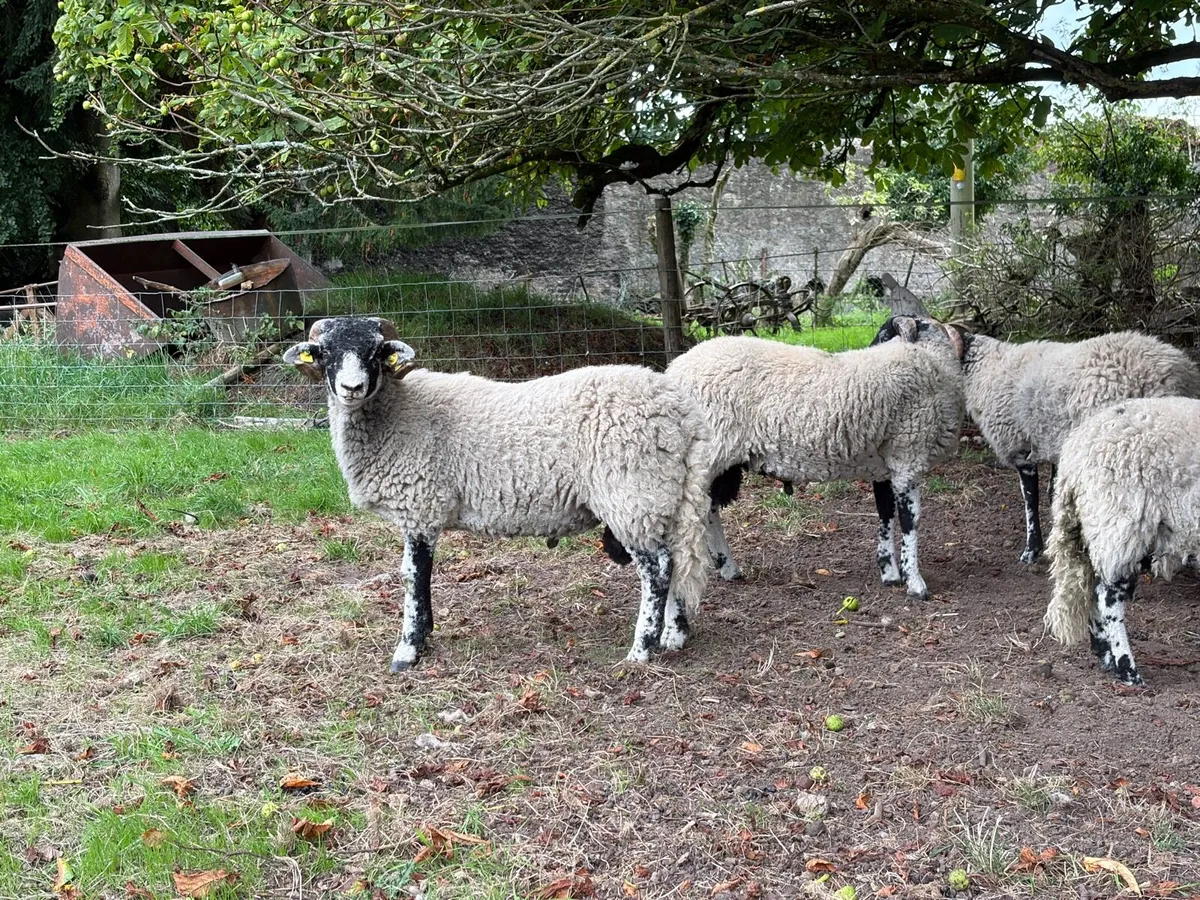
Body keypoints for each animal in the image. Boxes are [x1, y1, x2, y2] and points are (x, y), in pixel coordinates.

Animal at [283, 316, 714, 670]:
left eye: (375, 352)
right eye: (325, 352)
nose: (351, 387)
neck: (397, 413)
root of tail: (682, 413)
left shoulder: (421, 506)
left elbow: (412, 576)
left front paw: (408, 649)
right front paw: (424, 634)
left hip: (631, 494)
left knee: (657, 568)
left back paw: (641, 650)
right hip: (668, 494)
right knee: (680, 559)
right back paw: (674, 635)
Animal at [666, 316, 966, 600]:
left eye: (884, 335)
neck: (928, 359)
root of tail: (673, 370)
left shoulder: (885, 467)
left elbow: (886, 516)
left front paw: (890, 573)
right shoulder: (908, 457)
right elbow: (910, 521)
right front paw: (915, 584)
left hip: (719, 465)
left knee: (709, 511)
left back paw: (727, 567)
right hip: (706, 456)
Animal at [958, 330, 1200, 564]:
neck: (988, 369)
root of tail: (1175, 372)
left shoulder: (1020, 450)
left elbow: (1030, 501)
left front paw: (1031, 550)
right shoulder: (1056, 445)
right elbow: (1052, 491)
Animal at [1044, 396, 1200, 686]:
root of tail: (1075, 452)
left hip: (1098, 529)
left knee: (1092, 591)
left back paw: (1106, 659)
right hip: (1120, 526)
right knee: (1107, 598)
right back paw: (1128, 670)